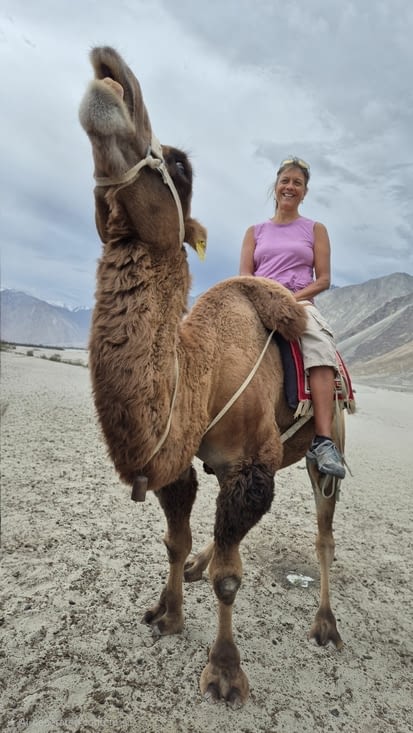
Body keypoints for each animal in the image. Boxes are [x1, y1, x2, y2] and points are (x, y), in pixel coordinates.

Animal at [79, 46, 345, 706]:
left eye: (179, 165)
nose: (108, 68)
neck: (200, 371)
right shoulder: (180, 459)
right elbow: (175, 539)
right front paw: (168, 612)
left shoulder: (251, 468)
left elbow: (231, 578)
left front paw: (225, 671)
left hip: (326, 446)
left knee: (324, 532)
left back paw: (326, 625)